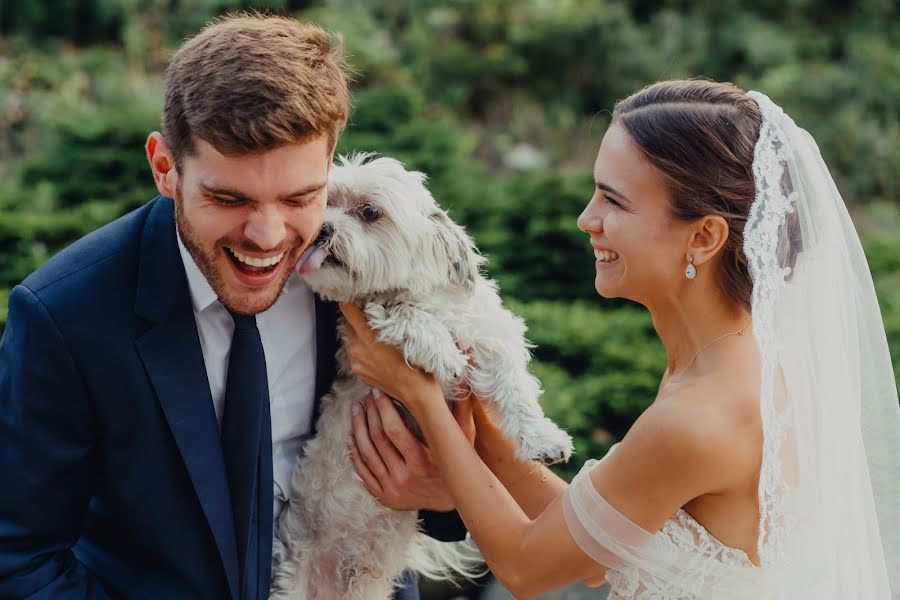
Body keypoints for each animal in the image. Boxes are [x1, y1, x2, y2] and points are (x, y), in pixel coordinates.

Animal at [270, 155, 572, 600]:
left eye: (369, 212)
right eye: (326, 203)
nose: (322, 228)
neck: (430, 299)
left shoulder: (490, 337)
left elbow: (515, 389)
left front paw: (542, 438)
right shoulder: (373, 315)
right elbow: (402, 313)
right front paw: (442, 353)